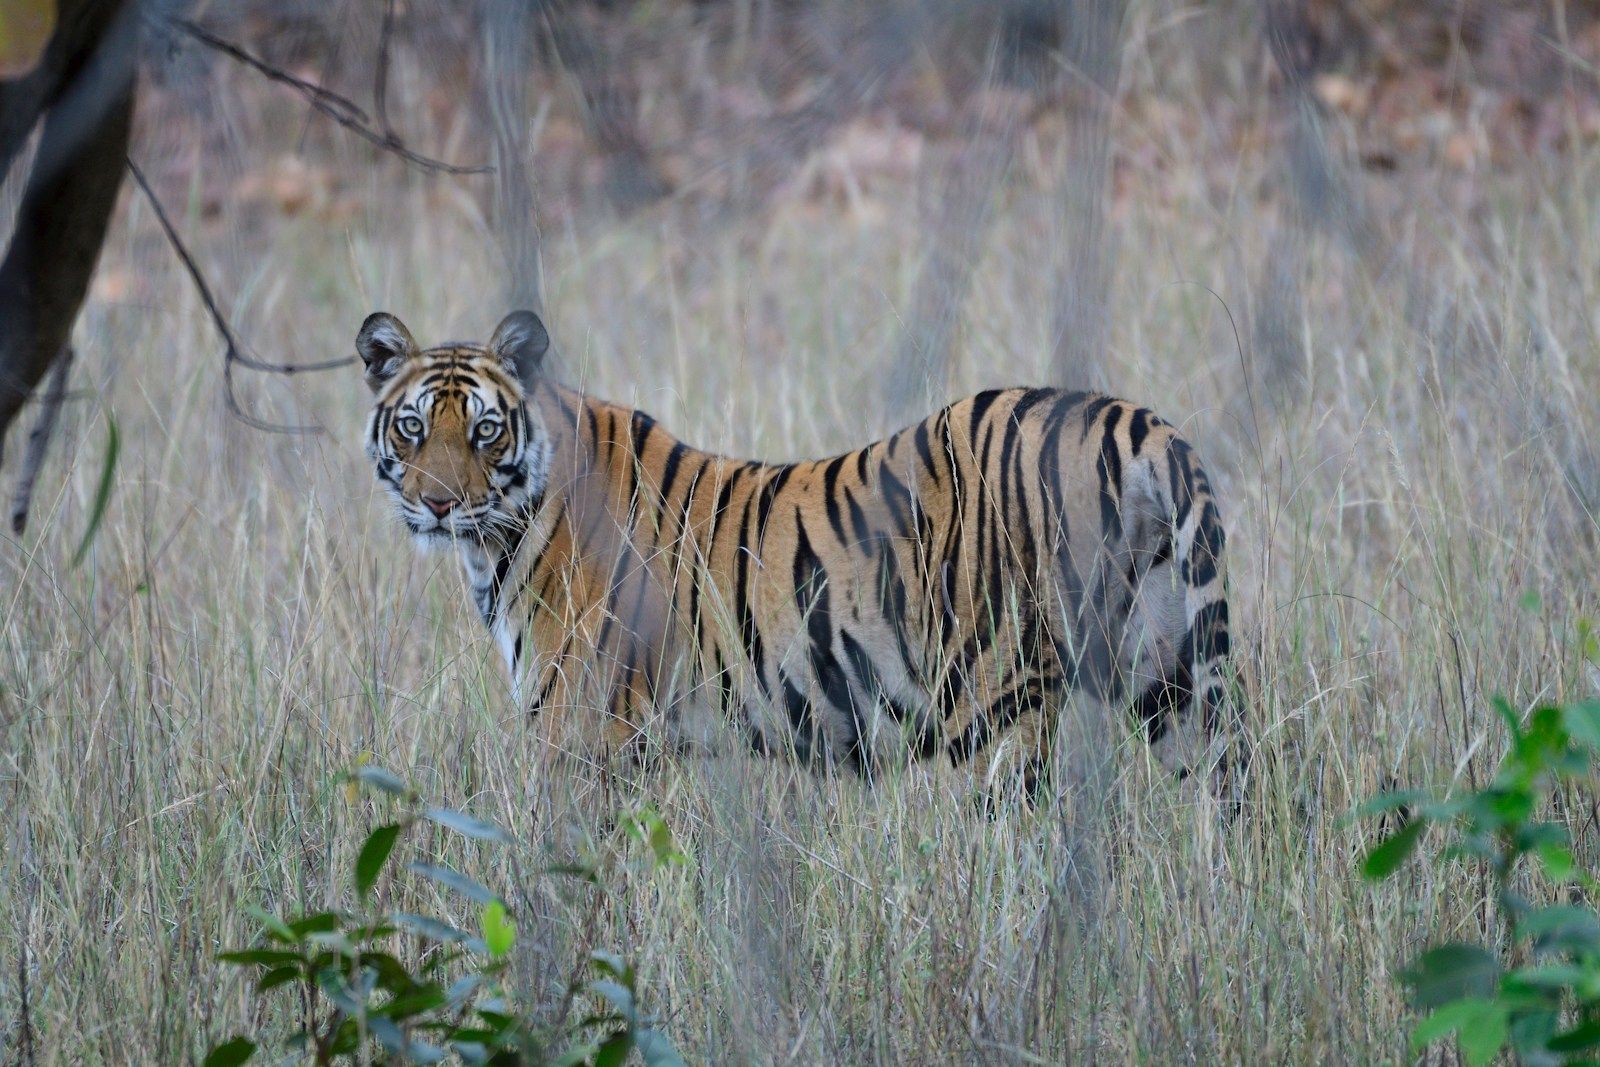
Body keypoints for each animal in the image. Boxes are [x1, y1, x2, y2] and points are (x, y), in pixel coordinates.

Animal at [360, 308, 1235, 799]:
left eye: (485, 429)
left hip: (997, 694)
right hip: (1165, 667)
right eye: (412, 427)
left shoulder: (584, 735)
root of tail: (1129, 418)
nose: (438, 503)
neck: (498, 541)